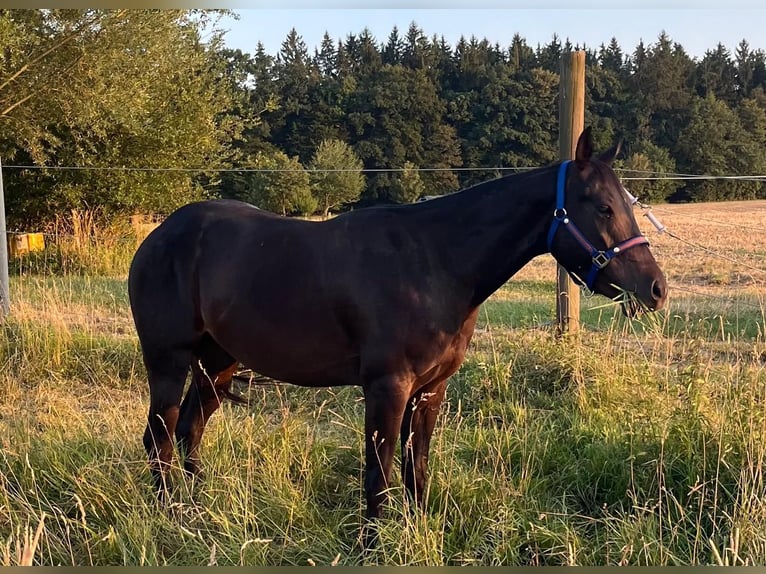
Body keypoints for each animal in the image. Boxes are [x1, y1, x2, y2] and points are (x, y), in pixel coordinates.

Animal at [128, 127, 667, 545]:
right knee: (160, 436)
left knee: (189, 431)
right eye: (602, 207)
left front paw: (418, 531)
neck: (435, 261)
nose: (656, 289)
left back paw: (198, 513)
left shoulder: (431, 390)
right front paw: (372, 545)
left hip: (217, 364)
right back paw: (172, 518)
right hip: (168, 362)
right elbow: (378, 474)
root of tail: (158, 236)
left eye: (629, 205)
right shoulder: (388, 387)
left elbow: (416, 469)